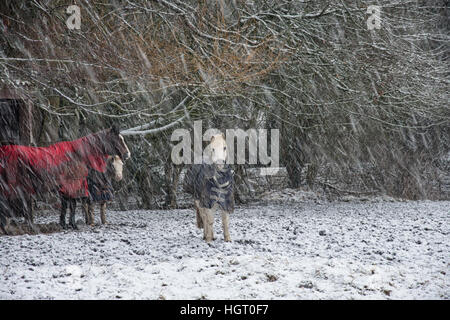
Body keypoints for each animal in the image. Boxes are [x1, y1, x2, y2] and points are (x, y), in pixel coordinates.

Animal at [0, 126, 130, 234]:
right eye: (117, 139)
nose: (127, 154)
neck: (77, 155)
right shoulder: (73, 185)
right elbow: (72, 205)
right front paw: (73, 225)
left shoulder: (66, 187)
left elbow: (66, 205)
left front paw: (64, 224)